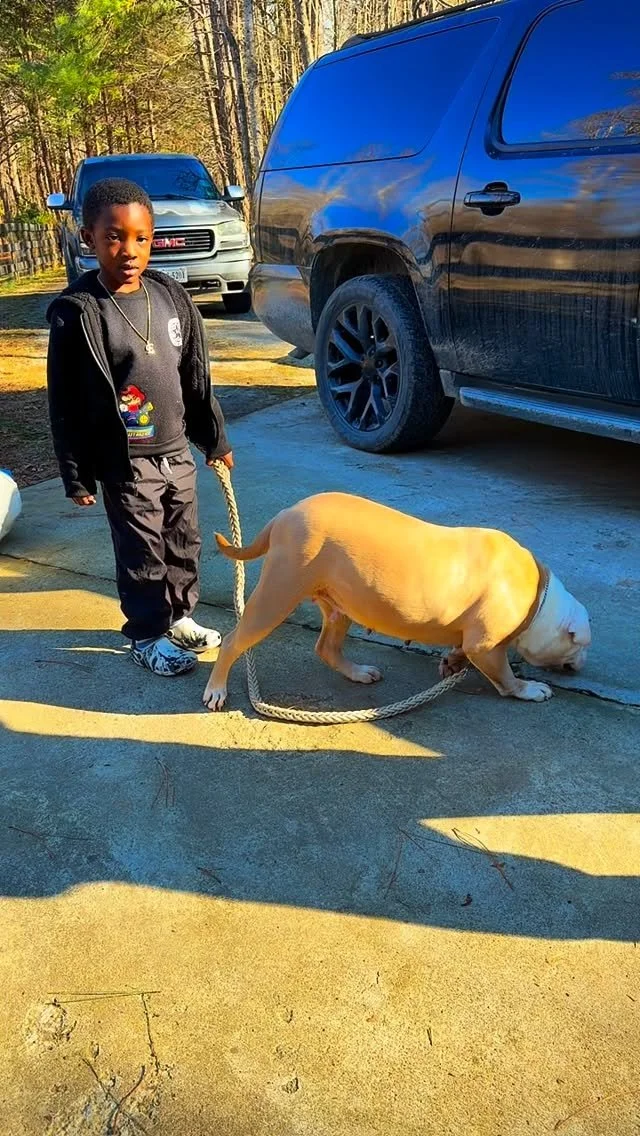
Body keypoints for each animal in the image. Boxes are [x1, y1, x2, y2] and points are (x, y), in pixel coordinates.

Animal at [203, 493, 591, 711]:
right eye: (579, 645)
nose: (582, 663)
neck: (538, 596)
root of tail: (285, 514)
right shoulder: (487, 647)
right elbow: (506, 678)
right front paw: (529, 690)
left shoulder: (474, 640)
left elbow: (462, 649)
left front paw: (452, 662)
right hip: (277, 595)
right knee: (234, 642)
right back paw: (216, 689)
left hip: (339, 603)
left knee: (327, 647)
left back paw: (358, 672)